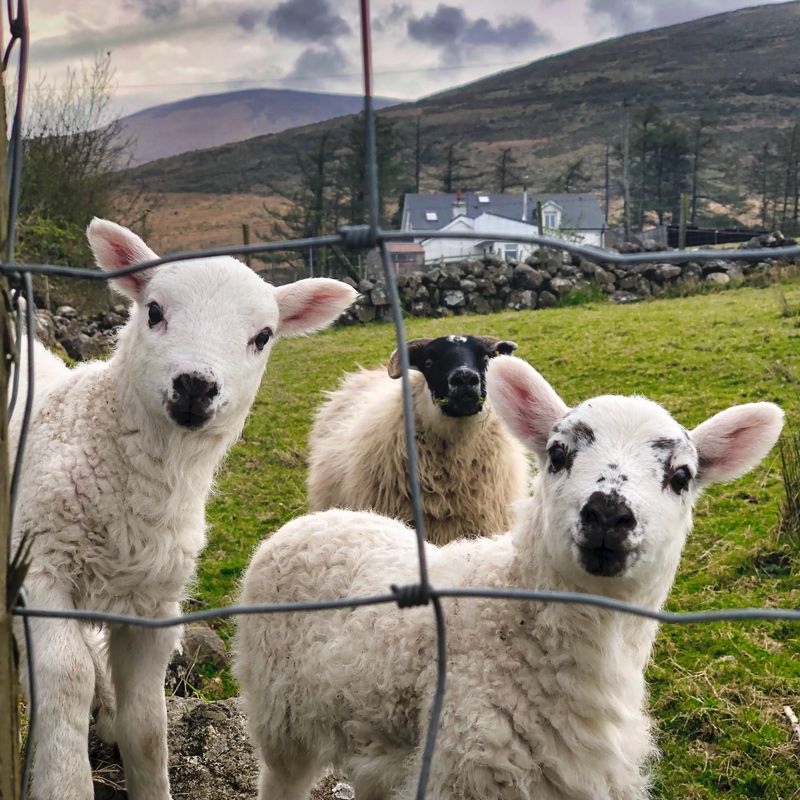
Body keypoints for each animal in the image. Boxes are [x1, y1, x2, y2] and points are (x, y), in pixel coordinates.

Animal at [10, 218, 357, 800]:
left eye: (263, 336)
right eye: (153, 311)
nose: (196, 385)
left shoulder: (153, 604)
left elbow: (148, 725)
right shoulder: (40, 567)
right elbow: (68, 680)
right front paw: (65, 782)